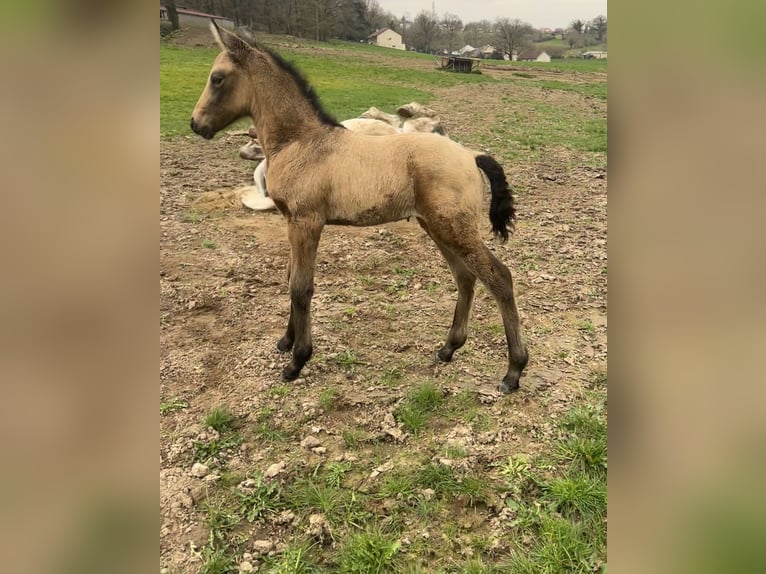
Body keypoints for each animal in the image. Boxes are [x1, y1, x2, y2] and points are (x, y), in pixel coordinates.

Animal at [190, 22, 529, 393]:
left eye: (217, 78)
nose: (196, 124)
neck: (302, 142)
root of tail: (470, 154)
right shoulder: (291, 222)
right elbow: (291, 277)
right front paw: (285, 341)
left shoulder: (306, 222)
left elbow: (301, 288)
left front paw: (297, 361)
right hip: (437, 227)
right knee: (466, 277)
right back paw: (449, 347)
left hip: (455, 228)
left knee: (499, 278)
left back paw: (513, 371)